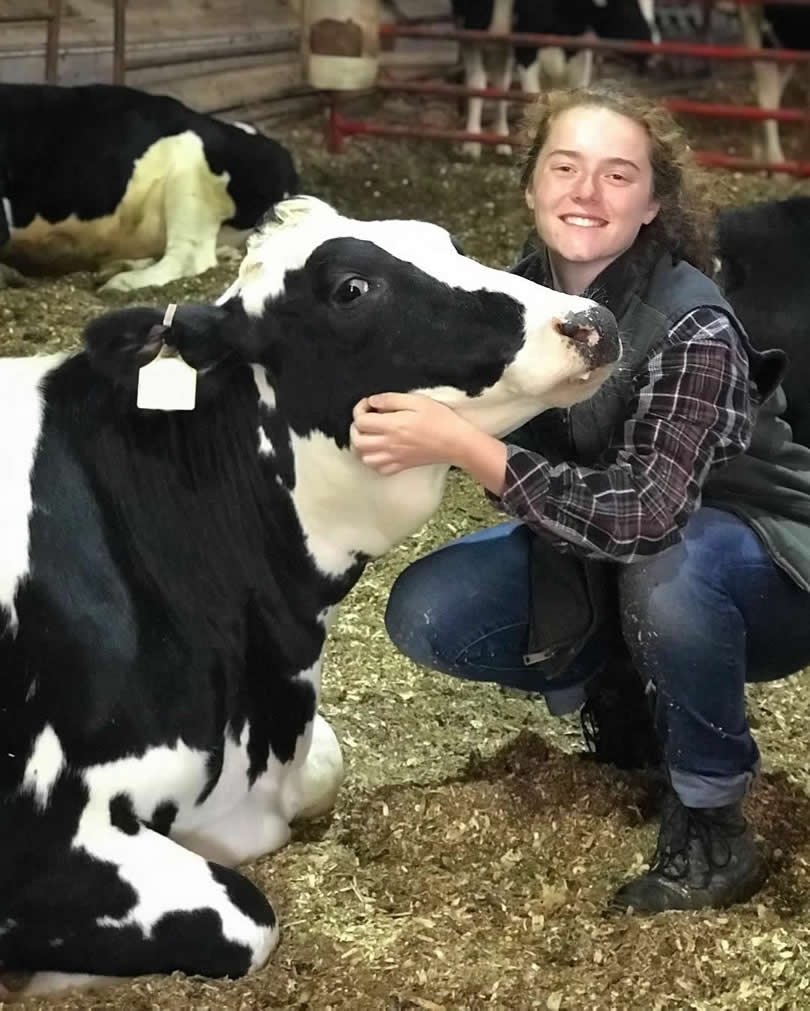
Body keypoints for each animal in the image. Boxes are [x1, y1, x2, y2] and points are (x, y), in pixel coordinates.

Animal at [0, 195, 618, 994]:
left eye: (445, 243)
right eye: (351, 289)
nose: (590, 321)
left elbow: (327, 764)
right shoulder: (42, 830)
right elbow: (246, 919)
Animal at [451, 0, 655, 157]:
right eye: (626, 7)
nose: (650, 47)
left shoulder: (581, 49)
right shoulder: (526, 47)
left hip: (502, 41)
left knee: (501, 81)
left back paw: (501, 143)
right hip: (470, 35)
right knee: (477, 80)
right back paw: (472, 144)